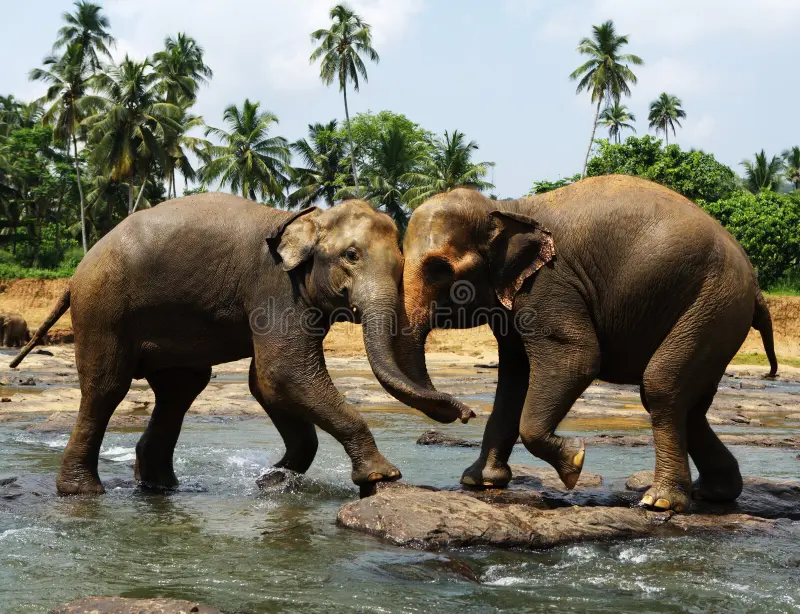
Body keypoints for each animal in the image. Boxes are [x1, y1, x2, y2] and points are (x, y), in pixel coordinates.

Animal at [10, 195, 476, 498]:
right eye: (351, 255)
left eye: (400, 267)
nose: (466, 413)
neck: (305, 218)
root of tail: (75, 274)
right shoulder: (275, 288)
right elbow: (281, 374)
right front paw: (383, 477)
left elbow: (266, 383)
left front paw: (272, 481)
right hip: (103, 307)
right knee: (107, 387)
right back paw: (83, 493)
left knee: (181, 389)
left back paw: (161, 487)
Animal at [384, 174, 780, 516]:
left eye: (439, 270)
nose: (464, 412)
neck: (506, 208)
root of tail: (754, 281)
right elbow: (513, 379)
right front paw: (479, 481)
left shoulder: (550, 284)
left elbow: (576, 358)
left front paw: (575, 461)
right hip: (716, 313)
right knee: (687, 403)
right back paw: (715, 493)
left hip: (714, 305)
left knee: (661, 387)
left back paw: (660, 502)